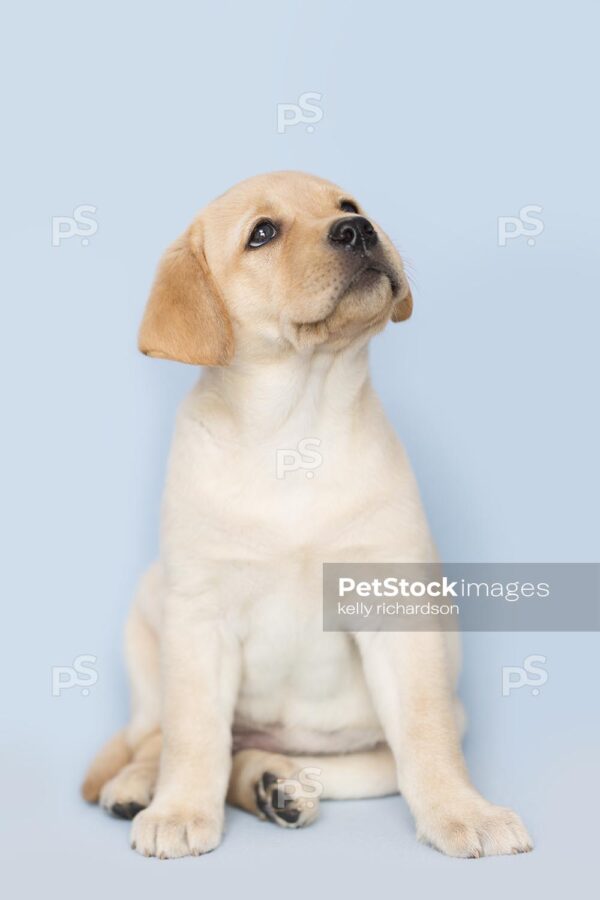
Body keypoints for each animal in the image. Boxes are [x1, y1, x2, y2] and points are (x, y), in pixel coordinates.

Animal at [82, 171, 532, 856]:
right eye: (262, 233)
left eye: (349, 206)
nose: (358, 230)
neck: (297, 430)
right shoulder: (198, 618)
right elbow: (194, 735)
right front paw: (180, 809)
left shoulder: (397, 610)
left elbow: (425, 735)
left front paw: (463, 812)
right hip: (148, 623)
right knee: (157, 736)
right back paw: (142, 787)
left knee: (312, 761)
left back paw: (275, 784)